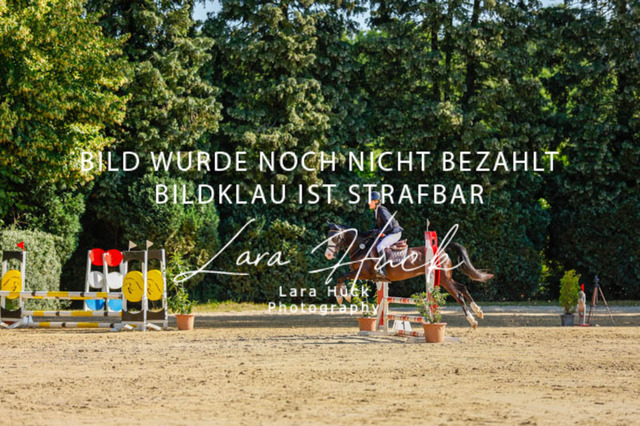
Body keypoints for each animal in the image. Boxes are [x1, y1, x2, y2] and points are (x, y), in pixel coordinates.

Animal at [323, 223, 494, 328]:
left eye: (335, 238)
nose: (328, 255)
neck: (362, 247)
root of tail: (442, 249)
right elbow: (341, 278)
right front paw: (343, 296)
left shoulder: (364, 274)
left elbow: (341, 277)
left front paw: (342, 297)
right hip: (446, 278)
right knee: (462, 287)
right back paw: (479, 311)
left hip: (444, 279)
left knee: (458, 294)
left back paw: (472, 320)